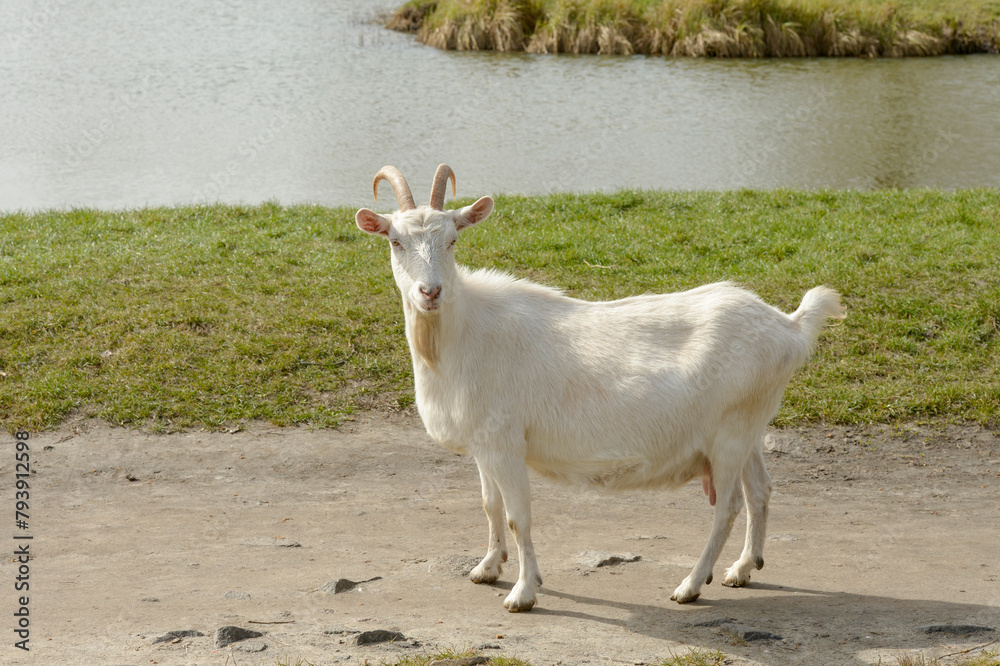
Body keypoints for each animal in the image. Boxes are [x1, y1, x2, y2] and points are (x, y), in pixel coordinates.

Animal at [355, 164, 844, 612]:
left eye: (453, 239)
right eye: (395, 241)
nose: (430, 292)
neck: (460, 338)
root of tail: (789, 326)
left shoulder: (505, 442)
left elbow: (517, 518)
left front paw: (523, 593)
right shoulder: (483, 445)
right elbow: (489, 505)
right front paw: (487, 568)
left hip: (730, 435)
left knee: (728, 507)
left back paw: (690, 585)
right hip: (749, 427)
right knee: (760, 490)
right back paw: (742, 569)